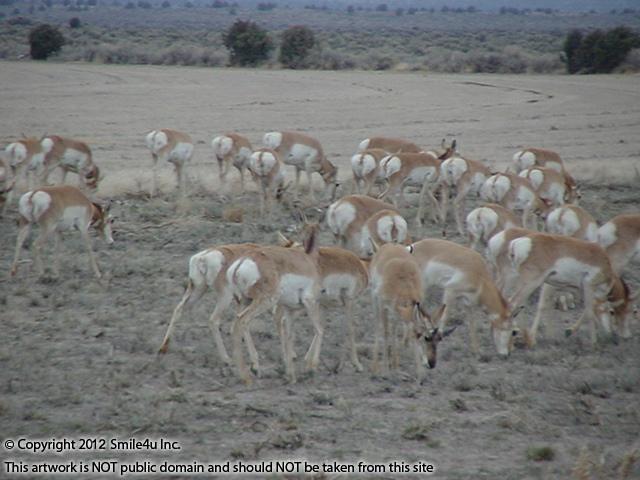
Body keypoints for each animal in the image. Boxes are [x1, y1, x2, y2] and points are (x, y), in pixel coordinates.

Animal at [228, 223, 322, 384]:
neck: (306, 260)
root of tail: (242, 262)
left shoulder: (290, 309)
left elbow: (289, 336)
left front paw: (291, 374)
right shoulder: (309, 302)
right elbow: (319, 330)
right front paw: (312, 367)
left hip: (245, 301)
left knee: (236, 323)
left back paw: (247, 371)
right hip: (265, 301)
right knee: (243, 321)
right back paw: (250, 372)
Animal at [276, 232, 370, 372]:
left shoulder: (323, 306)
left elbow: (321, 328)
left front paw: (309, 361)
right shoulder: (349, 301)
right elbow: (350, 329)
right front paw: (357, 364)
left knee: (283, 321)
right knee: (281, 320)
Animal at [368, 244, 448, 378]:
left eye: (439, 339)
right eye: (426, 337)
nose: (432, 364)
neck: (404, 284)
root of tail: (390, 245)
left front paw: (417, 372)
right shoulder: (382, 304)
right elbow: (385, 332)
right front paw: (384, 370)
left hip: (394, 312)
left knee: (394, 329)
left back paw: (394, 364)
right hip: (375, 301)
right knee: (379, 327)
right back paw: (376, 367)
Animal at [504, 232, 636, 344]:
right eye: (612, 311)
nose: (627, 336)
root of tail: (517, 242)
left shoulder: (565, 288)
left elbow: (587, 310)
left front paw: (567, 332)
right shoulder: (588, 286)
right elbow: (589, 313)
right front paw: (593, 343)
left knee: (518, 305)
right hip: (531, 283)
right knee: (513, 303)